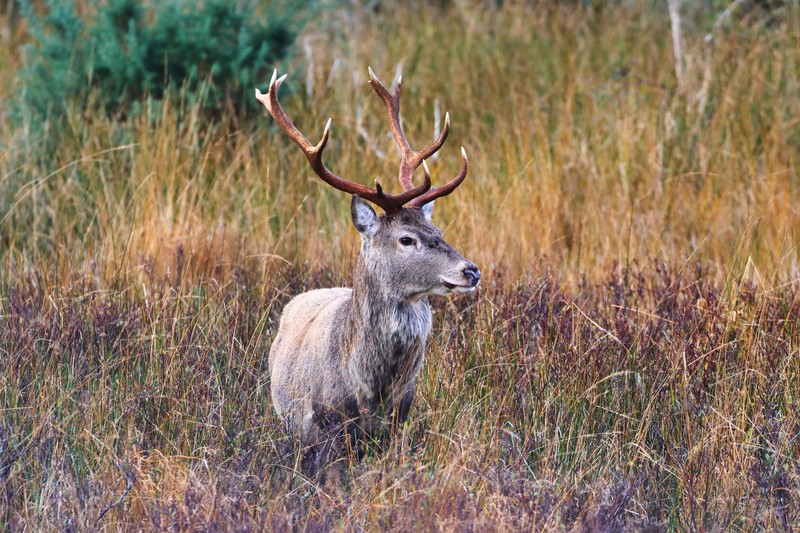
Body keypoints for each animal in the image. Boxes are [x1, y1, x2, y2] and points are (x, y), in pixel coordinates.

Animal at [255, 68, 480, 470]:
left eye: (438, 231)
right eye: (407, 239)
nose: (470, 271)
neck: (369, 388)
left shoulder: (400, 417)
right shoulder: (324, 424)